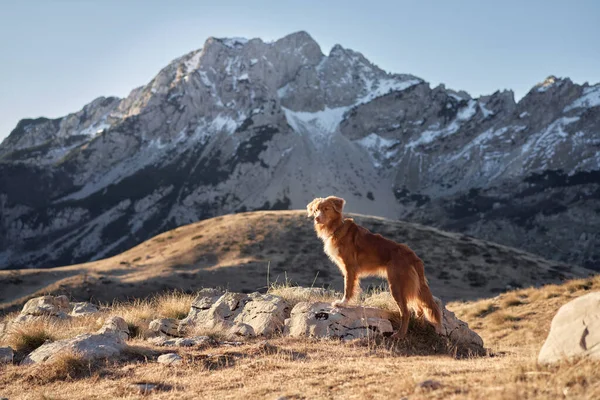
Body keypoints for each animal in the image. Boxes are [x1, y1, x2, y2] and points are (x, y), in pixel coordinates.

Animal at [310, 195, 440, 338]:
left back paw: (400, 334)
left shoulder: (350, 267)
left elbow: (348, 287)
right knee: (419, 309)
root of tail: (412, 255)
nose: (317, 218)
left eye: (326, 209)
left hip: (397, 286)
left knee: (406, 312)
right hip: (412, 287)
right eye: (316, 210)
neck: (337, 228)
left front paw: (342, 303)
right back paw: (418, 328)